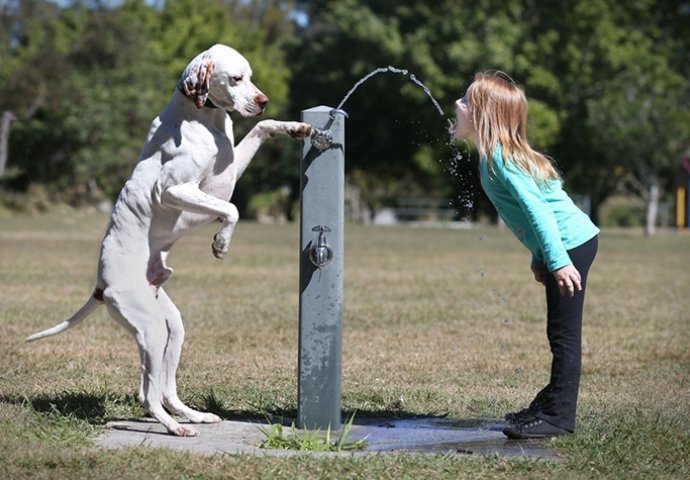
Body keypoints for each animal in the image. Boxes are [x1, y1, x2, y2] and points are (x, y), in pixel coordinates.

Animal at [26, 44, 312, 436]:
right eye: (236, 78)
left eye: (251, 77)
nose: (263, 100)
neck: (202, 117)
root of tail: (101, 285)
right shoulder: (176, 189)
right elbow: (232, 209)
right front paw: (221, 243)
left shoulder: (226, 174)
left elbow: (260, 128)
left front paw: (294, 127)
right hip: (150, 329)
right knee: (147, 393)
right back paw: (175, 427)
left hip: (171, 328)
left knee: (165, 389)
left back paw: (193, 415)